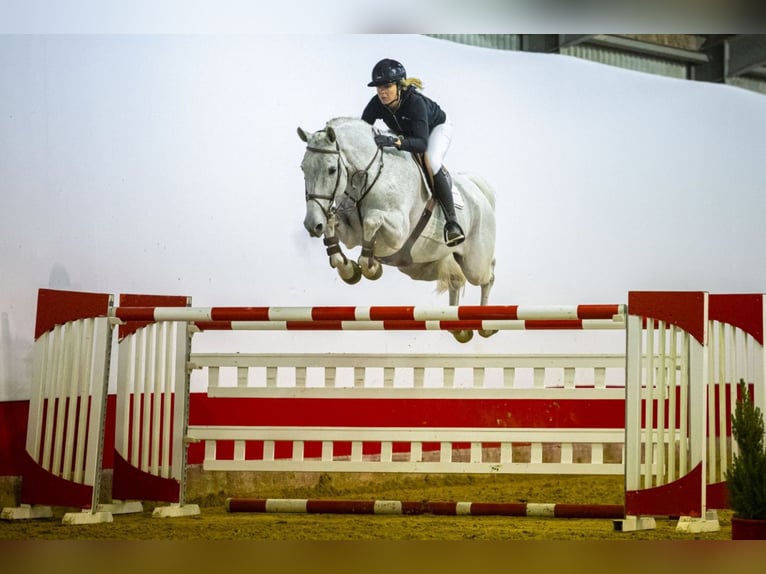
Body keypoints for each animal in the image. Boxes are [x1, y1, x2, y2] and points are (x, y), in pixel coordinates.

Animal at [296, 116, 500, 342]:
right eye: (303, 168)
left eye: (331, 169)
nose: (312, 225)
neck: (368, 177)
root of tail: (478, 190)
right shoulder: (350, 232)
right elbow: (333, 225)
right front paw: (348, 269)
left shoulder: (398, 233)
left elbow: (371, 221)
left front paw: (370, 266)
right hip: (421, 266)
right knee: (454, 279)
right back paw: (458, 327)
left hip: (474, 263)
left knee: (487, 275)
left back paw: (486, 325)